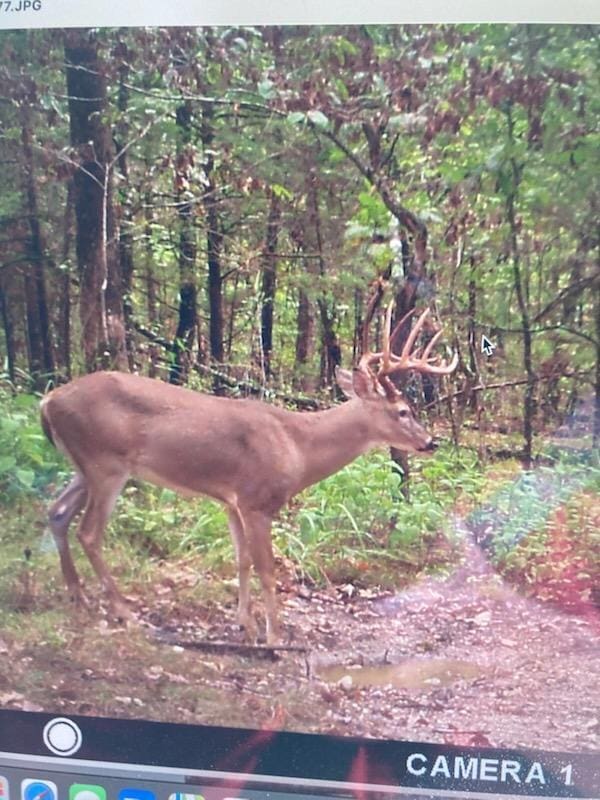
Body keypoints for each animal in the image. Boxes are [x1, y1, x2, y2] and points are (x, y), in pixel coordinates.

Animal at [41, 306, 454, 644]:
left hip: (84, 466)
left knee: (57, 512)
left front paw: (247, 625)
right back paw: (123, 611)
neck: (298, 446)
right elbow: (267, 568)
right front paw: (274, 637)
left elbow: (241, 560)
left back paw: (78, 595)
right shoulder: (258, 500)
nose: (430, 441)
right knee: (89, 532)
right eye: (403, 411)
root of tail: (48, 401)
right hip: (106, 463)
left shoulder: (231, 501)